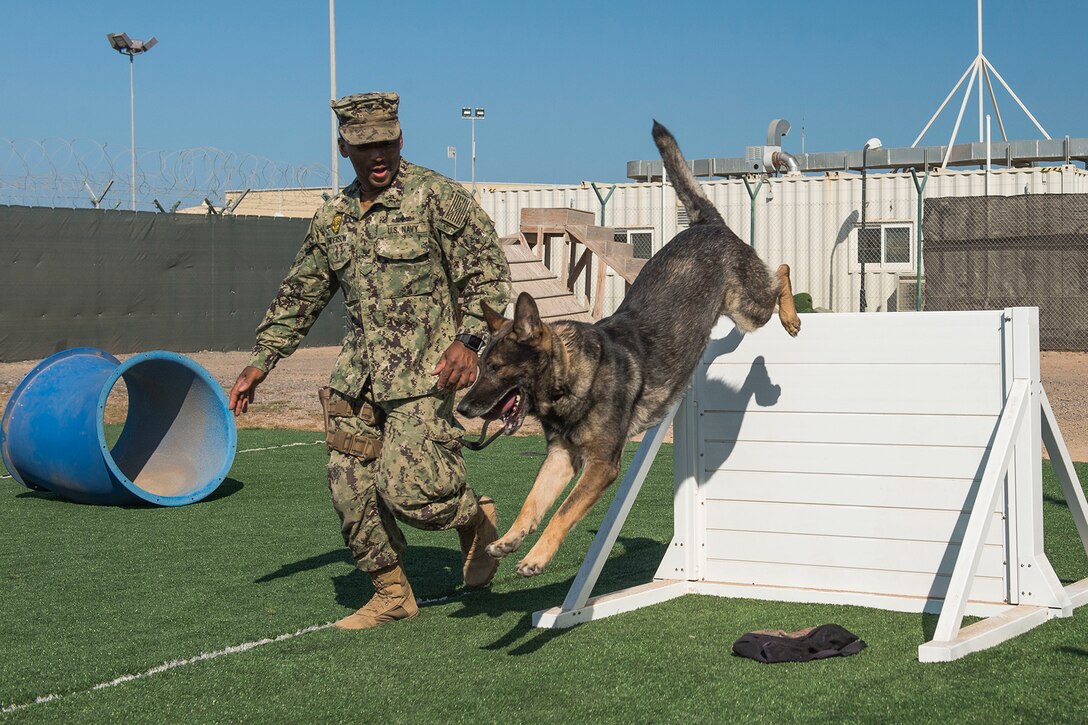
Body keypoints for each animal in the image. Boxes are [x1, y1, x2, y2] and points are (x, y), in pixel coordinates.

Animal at [454, 119, 805, 574]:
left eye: (496, 368)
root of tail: (704, 223)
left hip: (749, 307)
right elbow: (533, 503)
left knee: (781, 272)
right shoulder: (560, 459)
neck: (573, 378)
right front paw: (510, 540)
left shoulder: (601, 466)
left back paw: (791, 320)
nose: (463, 409)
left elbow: (562, 513)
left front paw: (537, 557)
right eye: (480, 367)